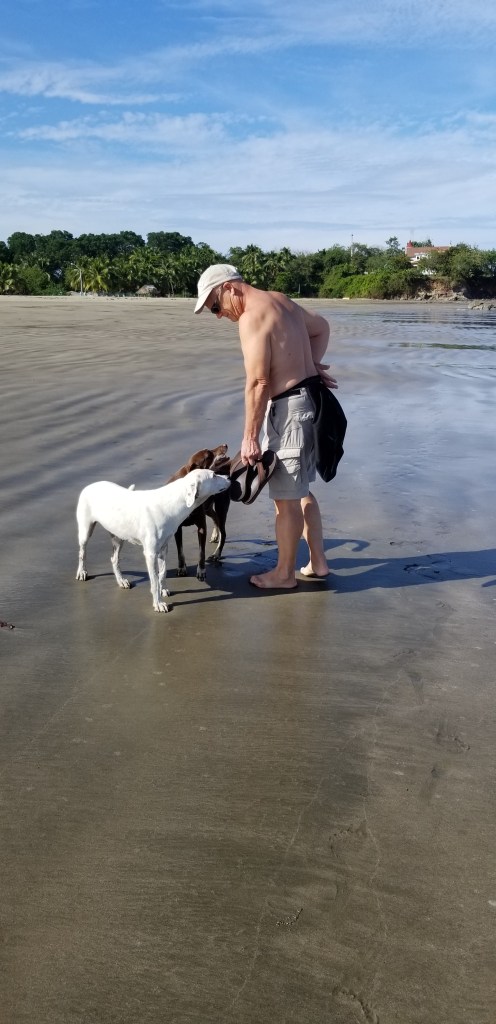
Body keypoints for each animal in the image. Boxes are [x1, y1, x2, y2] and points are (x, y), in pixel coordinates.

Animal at [75, 469, 231, 612]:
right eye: (213, 475)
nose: (229, 476)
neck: (171, 504)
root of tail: (90, 485)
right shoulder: (150, 554)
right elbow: (155, 580)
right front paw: (158, 604)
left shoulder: (163, 549)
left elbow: (162, 573)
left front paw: (163, 590)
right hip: (85, 532)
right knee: (82, 553)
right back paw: (82, 572)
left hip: (118, 537)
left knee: (114, 559)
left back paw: (121, 581)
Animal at [167, 444, 231, 580]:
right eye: (208, 455)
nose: (225, 445)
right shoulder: (177, 528)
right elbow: (180, 551)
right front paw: (182, 568)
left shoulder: (201, 526)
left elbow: (201, 552)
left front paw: (201, 570)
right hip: (207, 508)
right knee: (215, 517)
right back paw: (215, 535)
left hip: (221, 507)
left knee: (223, 531)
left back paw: (217, 553)